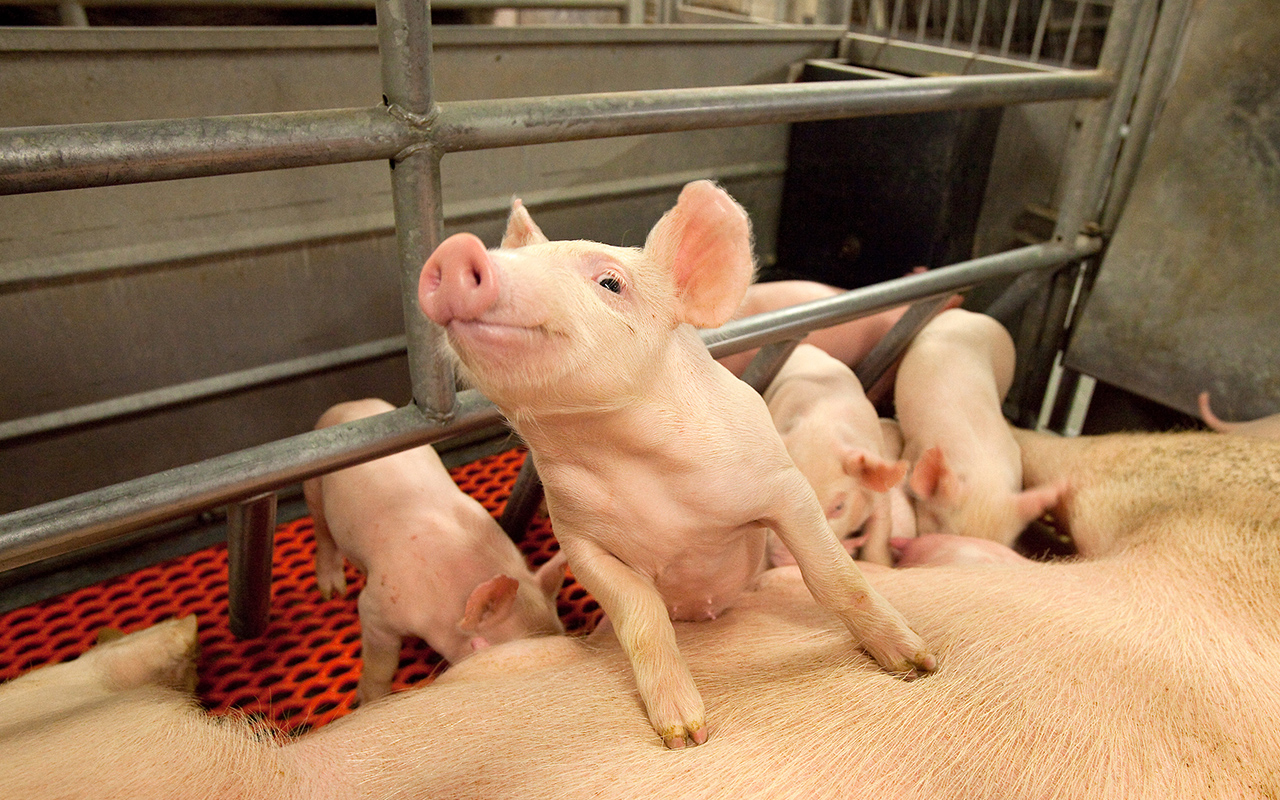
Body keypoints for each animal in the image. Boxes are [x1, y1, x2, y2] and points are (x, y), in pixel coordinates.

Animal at [303, 398, 566, 704]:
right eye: (484, 647)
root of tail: (351, 403)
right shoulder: (378, 605)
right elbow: (381, 661)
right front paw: (370, 701)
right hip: (313, 488)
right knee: (322, 532)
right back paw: (333, 593)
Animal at [761, 343, 906, 568]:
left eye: (839, 507)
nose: (780, 558)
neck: (823, 428)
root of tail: (804, 346)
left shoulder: (879, 496)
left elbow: (879, 534)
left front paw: (882, 564)